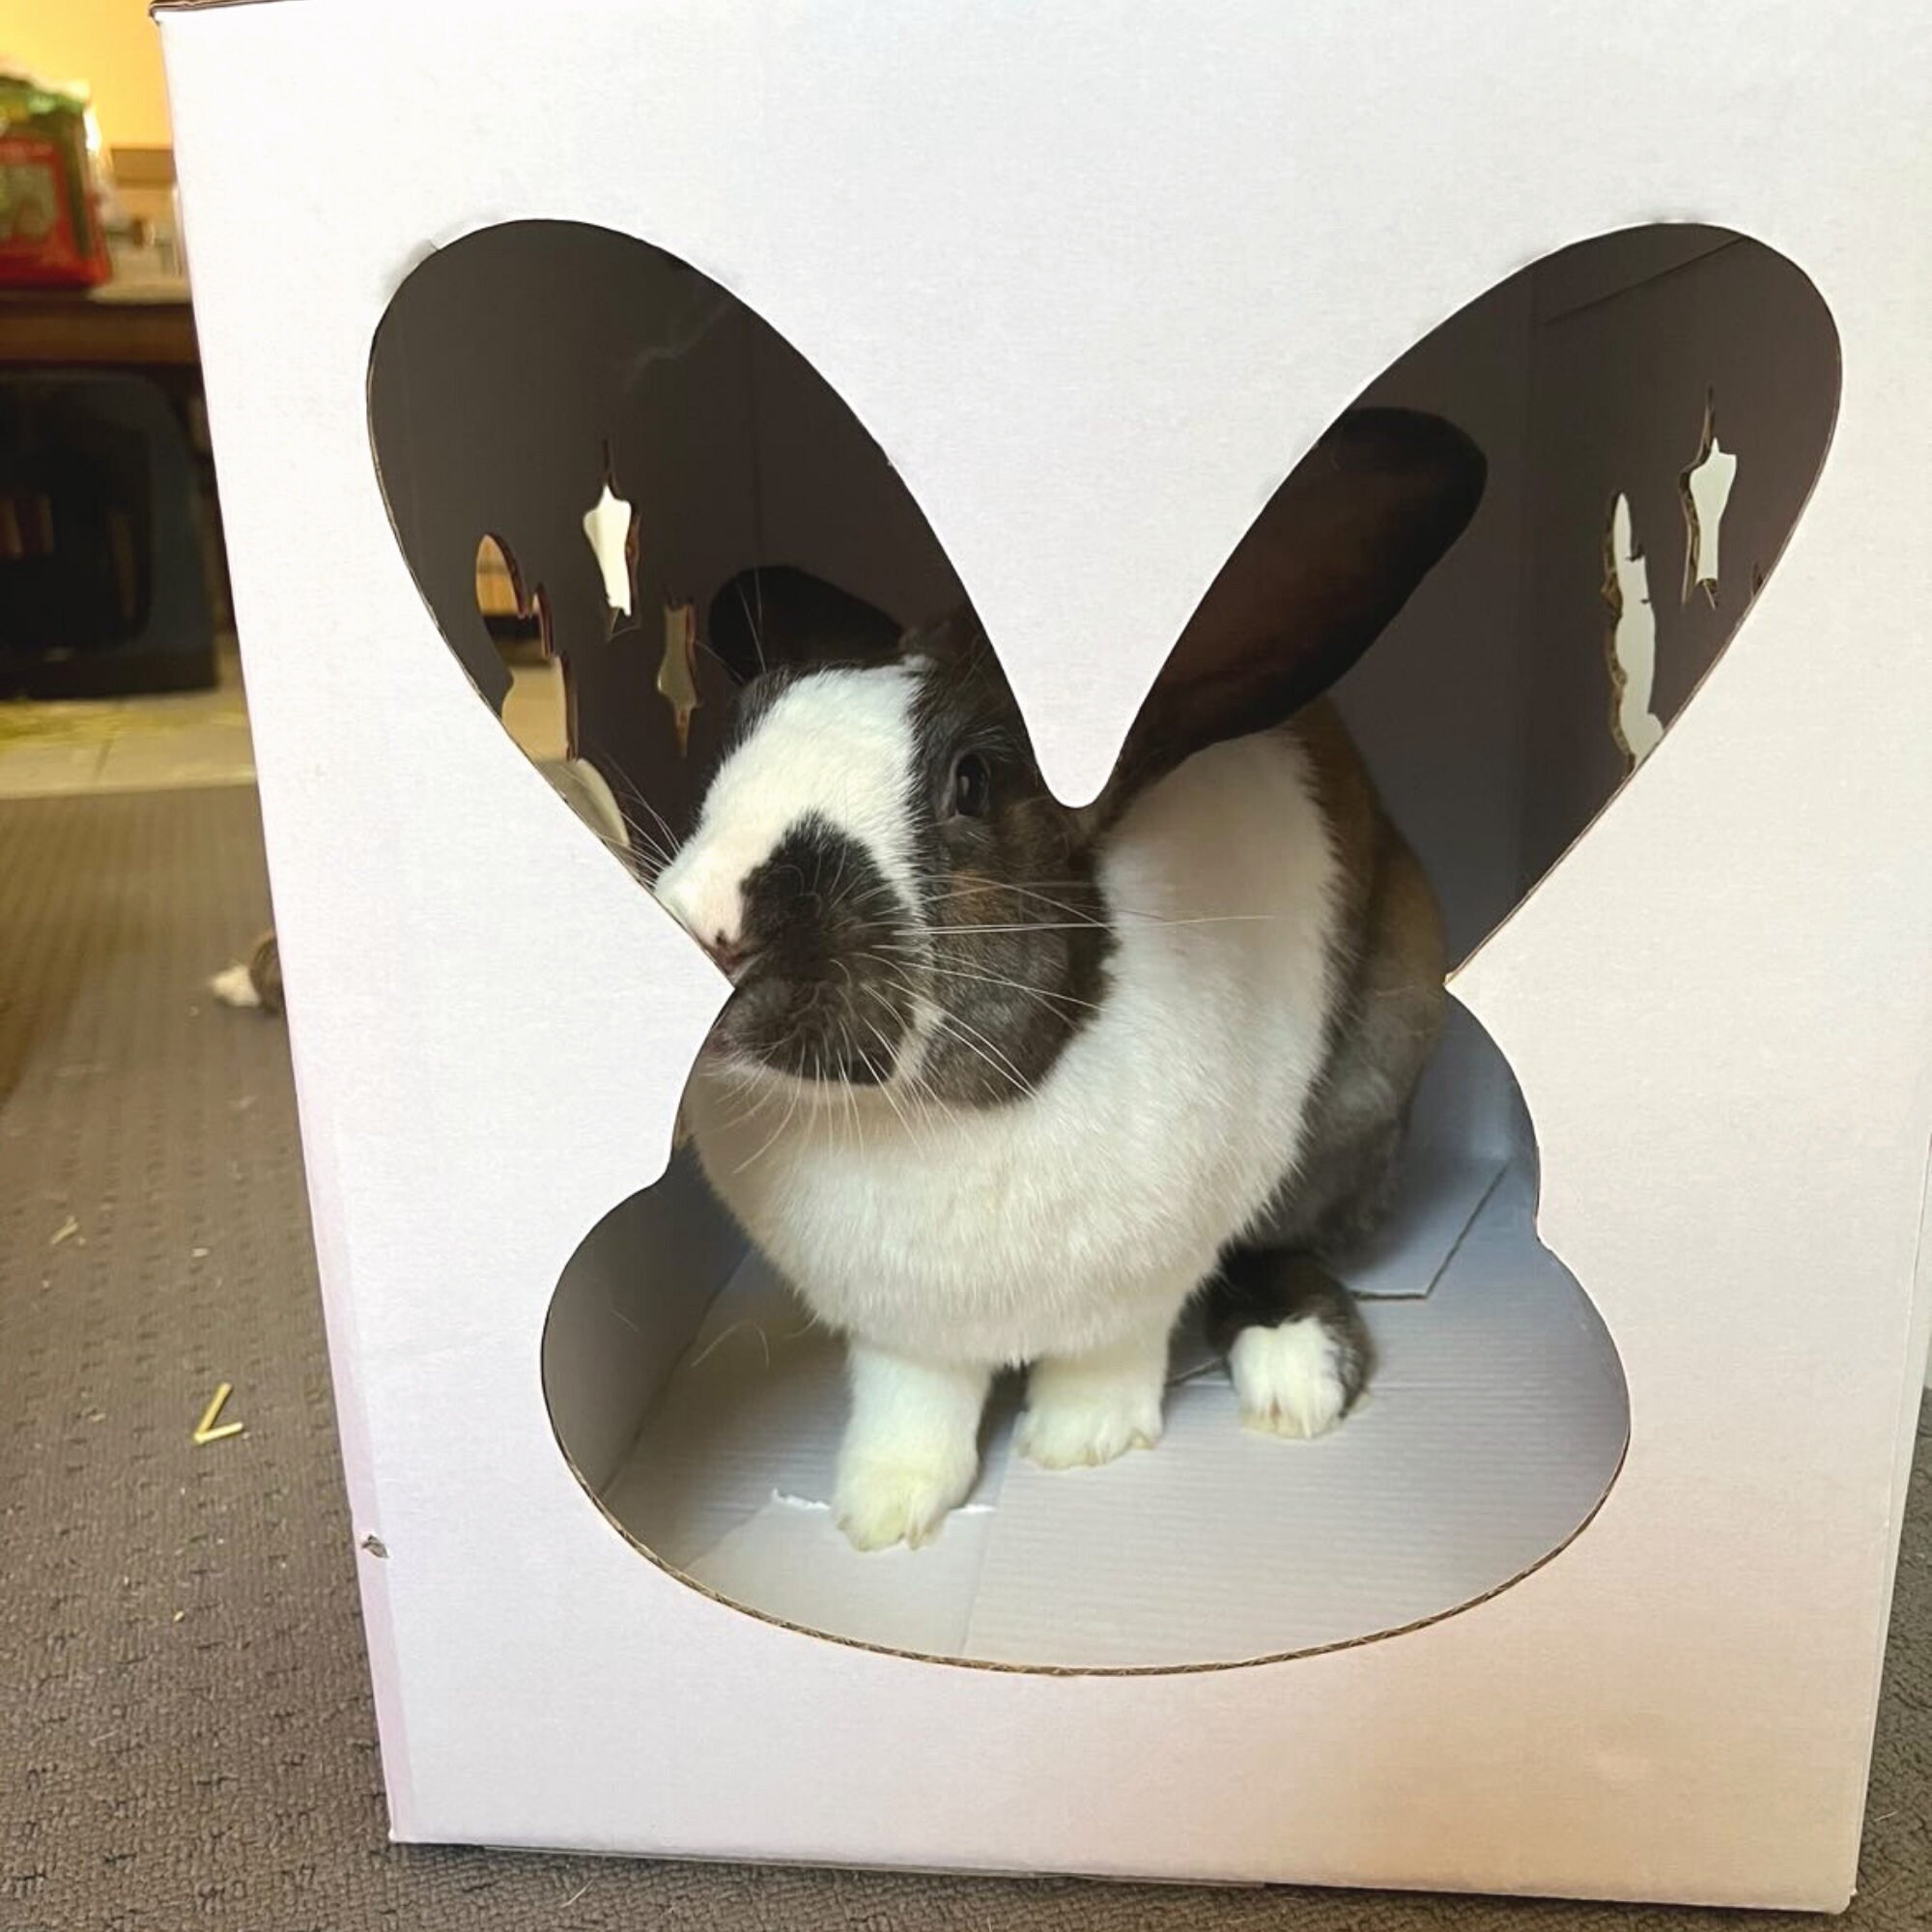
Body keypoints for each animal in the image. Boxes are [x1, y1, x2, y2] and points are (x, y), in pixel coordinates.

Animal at [652, 407, 1484, 1551]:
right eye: (740, 734)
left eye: (970, 783)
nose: (709, 923)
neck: (926, 1116)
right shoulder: (901, 1331)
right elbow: (912, 1400)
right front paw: (883, 1509)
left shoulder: (1143, 1284)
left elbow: (1112, 1355)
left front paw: (1080, 1443)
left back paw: (1294, 1368)